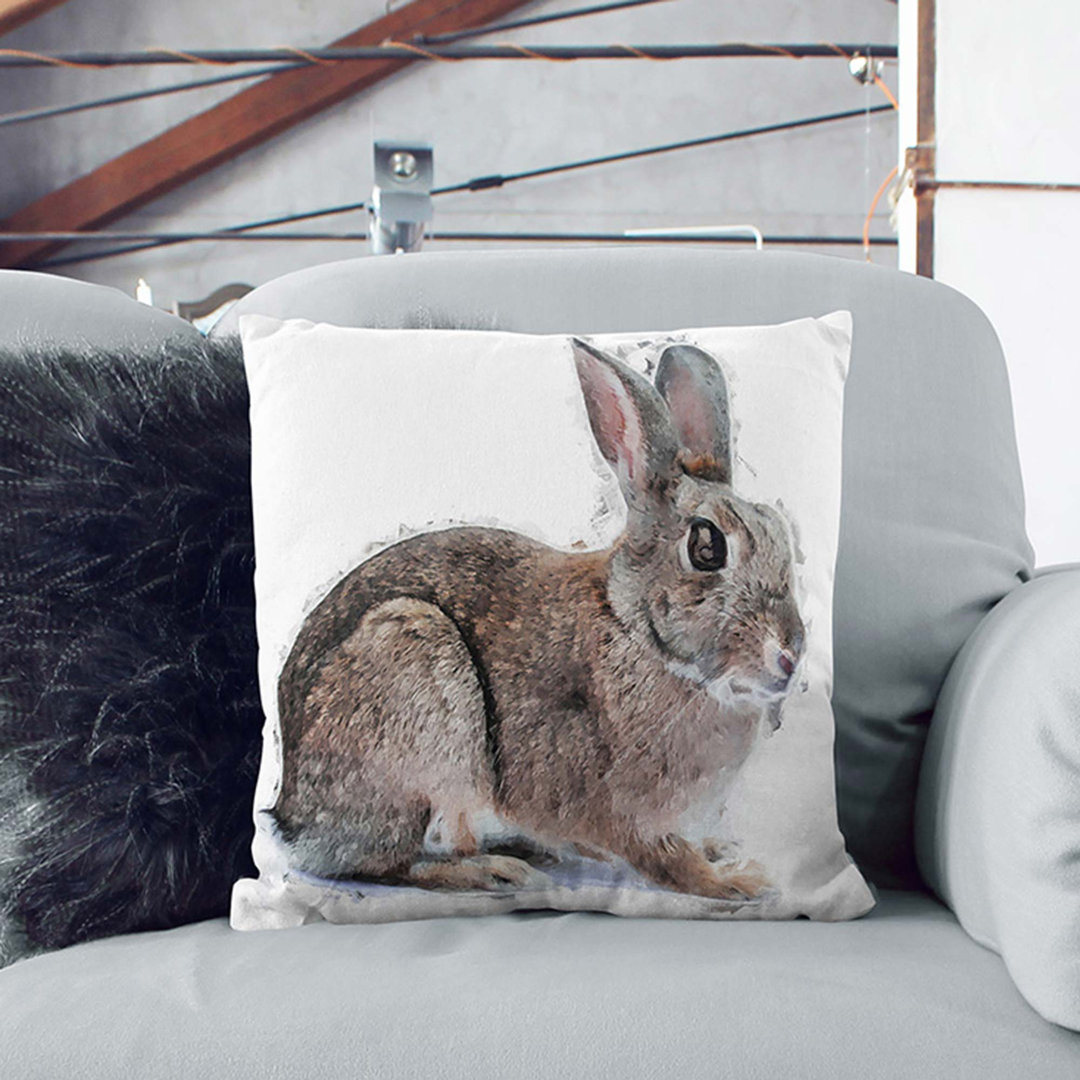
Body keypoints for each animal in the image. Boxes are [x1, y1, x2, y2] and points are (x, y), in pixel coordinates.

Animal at [269, 337, 806, 903]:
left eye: (778, 531)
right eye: (706, 547)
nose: (789, 656)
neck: (637, 631)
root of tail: (293, 819)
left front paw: (721, 851)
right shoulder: (622, 811)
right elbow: (666, 861)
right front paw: (736, 880)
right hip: (415, 680)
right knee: (385, 863)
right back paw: (492, 871)